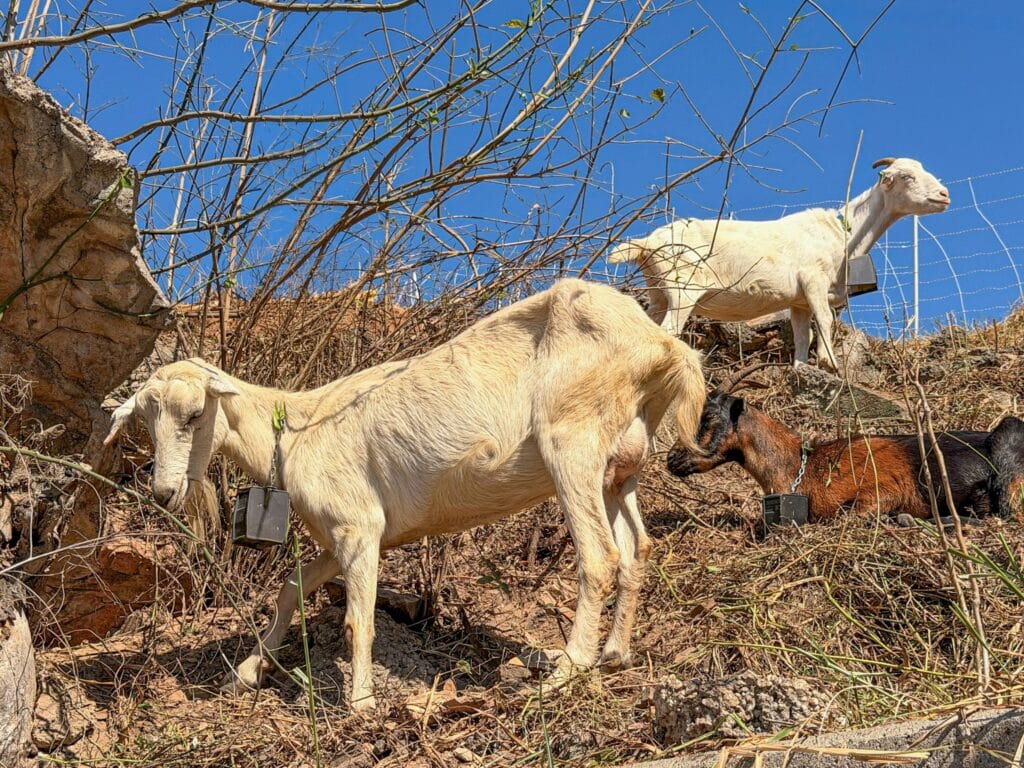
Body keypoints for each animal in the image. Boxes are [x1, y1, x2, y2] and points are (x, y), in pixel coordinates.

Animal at [104, 279, 706, 711]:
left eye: (194, 413)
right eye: (145, 423)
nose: (164, 491)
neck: (292, 431)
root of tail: (663, 346)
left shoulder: (357, 527)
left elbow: (358, 620)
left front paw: (361, 702)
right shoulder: (348, 535)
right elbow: (291, 589)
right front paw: (250, 671)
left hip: (572, 438)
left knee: (600, 556)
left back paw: (565, 670)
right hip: (619, 468)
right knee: (637, 550)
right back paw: (617, 653)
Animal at [607, 157, 950, 369]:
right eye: (906, 177)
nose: (945, 194)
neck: (842, 233)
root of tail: (647, 243)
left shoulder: (798, 301)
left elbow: (802, 336)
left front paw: (801, 366)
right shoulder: (813, 281)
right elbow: (825, 321)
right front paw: (829, 362)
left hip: (657, 293)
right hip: (683, 290)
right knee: (668, 332)